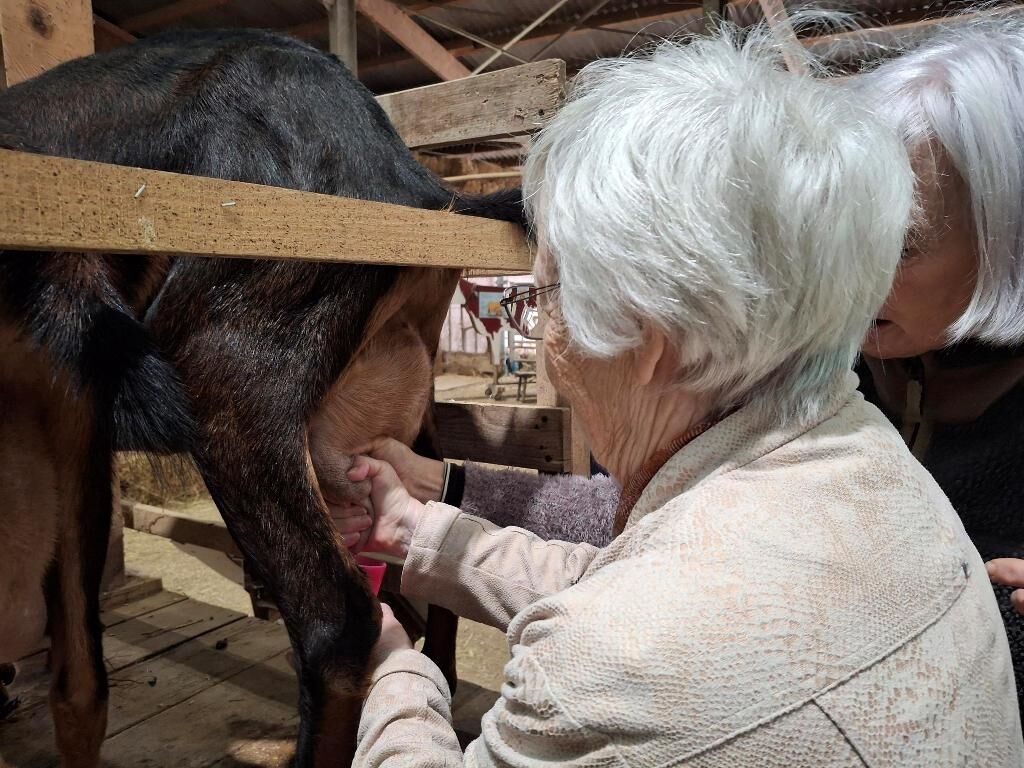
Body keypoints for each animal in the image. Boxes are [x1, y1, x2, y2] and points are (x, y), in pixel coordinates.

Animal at [0, 28, 522, 767]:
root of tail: (412, 185)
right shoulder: (67, 413)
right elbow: (78, 673)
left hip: (231, 380)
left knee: (339, 621)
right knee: (437, 533)